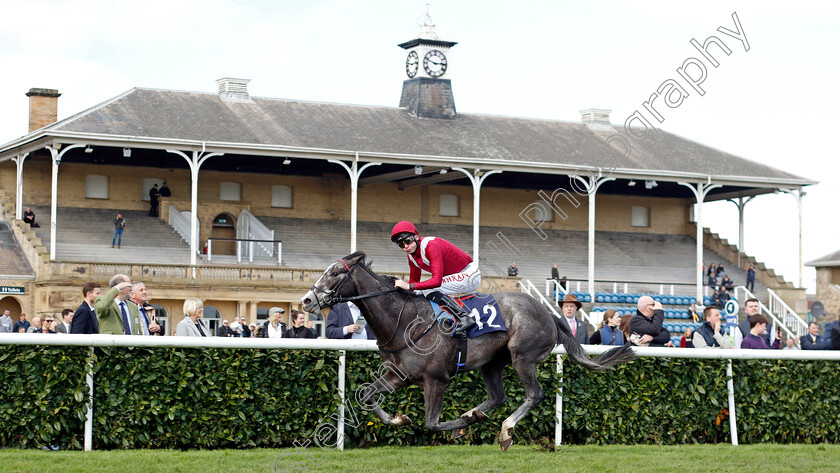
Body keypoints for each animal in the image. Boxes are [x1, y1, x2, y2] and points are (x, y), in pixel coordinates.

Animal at [298, 251, 632, 450]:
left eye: (334, 274)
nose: (306, 301)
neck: (403, 320)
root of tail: (550, 313)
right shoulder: (398, 375)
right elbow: (368, 395)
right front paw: (400, 420)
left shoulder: (436, 379)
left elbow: (431, 424)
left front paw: (464, 424)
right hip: (491, 364)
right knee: (497, 397)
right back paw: (476, 413)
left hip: (522, 356)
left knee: (533, 394)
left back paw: (504, 429)